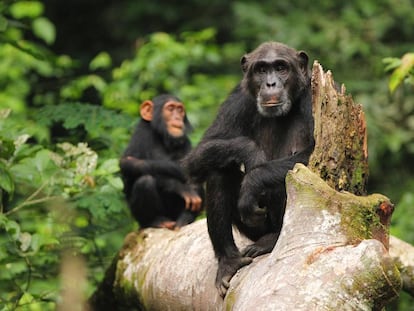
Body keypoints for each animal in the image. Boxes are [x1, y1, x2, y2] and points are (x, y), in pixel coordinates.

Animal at [119, 95, 204, 232]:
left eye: (180, 110)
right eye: (170, 108)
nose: (177, 117)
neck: (161, 136)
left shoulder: (185, 141)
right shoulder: (142, 135)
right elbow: (130, 166)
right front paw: (178, 186)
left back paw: (185, 218)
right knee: (145, 181)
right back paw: (157, 221)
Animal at [184, 42, 314, 298]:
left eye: (281, 67)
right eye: (261, 69)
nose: (270, 83)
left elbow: (314, 154)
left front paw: (254, 179)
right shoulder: (238, 100)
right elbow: (197, 155)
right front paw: (252, 153)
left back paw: (270, 241)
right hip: (254, 228)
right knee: (219, 170)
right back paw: (229, 262)